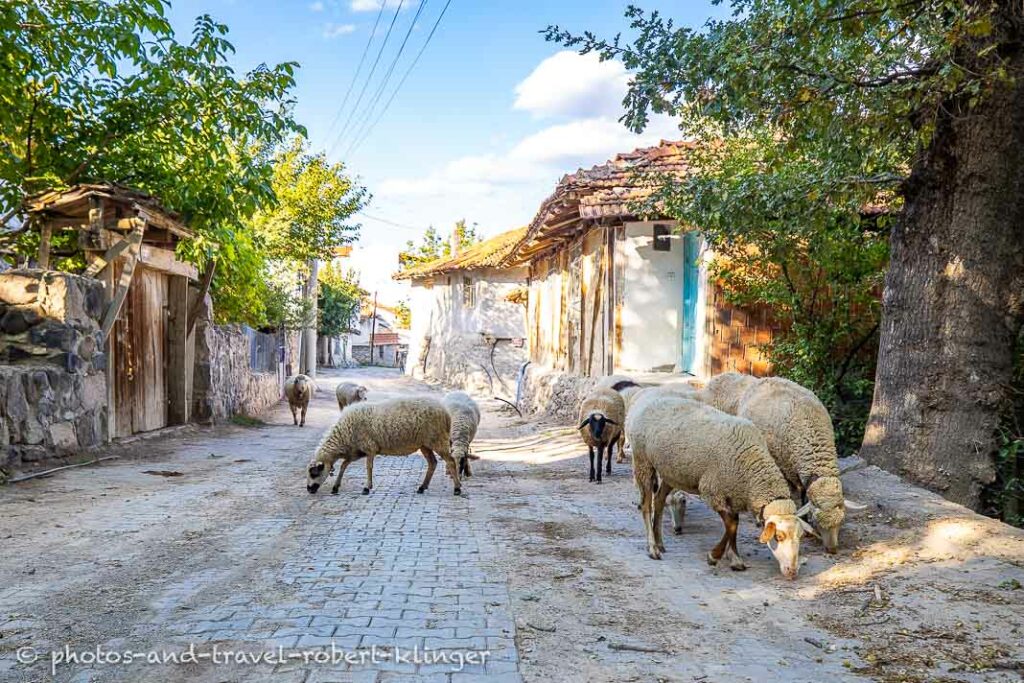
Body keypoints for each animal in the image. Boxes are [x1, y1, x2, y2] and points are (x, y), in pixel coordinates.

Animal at [305, 395, 462, 497]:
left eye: (314, 473)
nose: (309, 489)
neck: (343, 436)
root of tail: (446, 413)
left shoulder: (369, 448)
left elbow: (368, 467)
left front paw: (367, 488)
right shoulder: (357, 451)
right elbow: (344, 465)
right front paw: (335, 487)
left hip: (438, 440)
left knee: (451, 461)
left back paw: (457, 489)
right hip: (425, 444)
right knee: (433, 463)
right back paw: (422, 487)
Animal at [626, 393, 811, 581]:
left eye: (801, 536)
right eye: (779, 536)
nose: (792, 571)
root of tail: (647, 398)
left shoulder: (735, 494)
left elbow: (735, 525)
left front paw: (735, 558)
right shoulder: (712, 491)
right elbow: (732, 524)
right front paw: (714, 556)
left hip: (671, 472)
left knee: (659, 500)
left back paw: (660, 543)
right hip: (642, 461)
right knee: (647, 506)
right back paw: (652, 548)